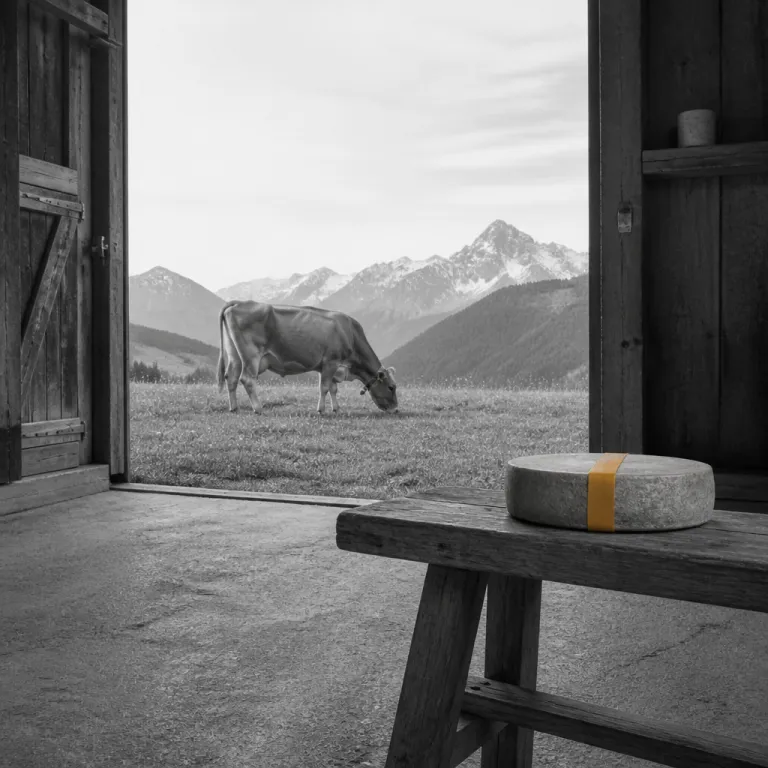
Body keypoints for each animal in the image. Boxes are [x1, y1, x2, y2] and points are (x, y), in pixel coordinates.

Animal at [216, 301, 398, 414]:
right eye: (391, 387)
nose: (396, 409)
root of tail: (240, 302)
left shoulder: (327, 366)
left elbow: (333, 388)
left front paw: (336, 408)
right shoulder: (331, 361)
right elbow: (324, 387)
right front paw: (321, 410)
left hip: (234, 354)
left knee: (231, 377)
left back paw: (234, 408)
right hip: (251, 355)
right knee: (247, 379)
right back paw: (258, 408)